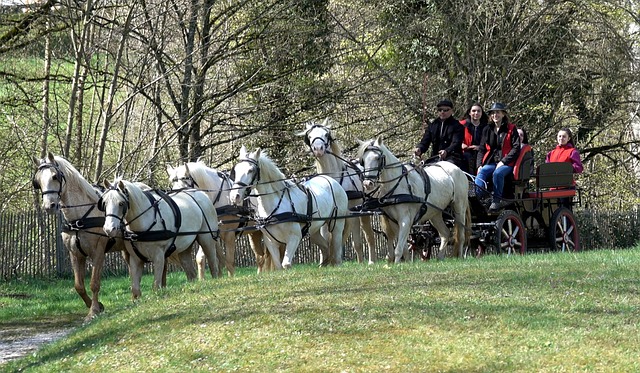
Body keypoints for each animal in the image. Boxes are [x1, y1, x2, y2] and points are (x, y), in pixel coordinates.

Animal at [298, 117, 378, 264]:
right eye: (310, 137)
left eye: (326, 135)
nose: (318, 148)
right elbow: (326, 238)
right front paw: (325, 261)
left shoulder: (351, 213)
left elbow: (355, 242)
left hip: (362, 212)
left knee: (368, 236)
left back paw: (371, 261)